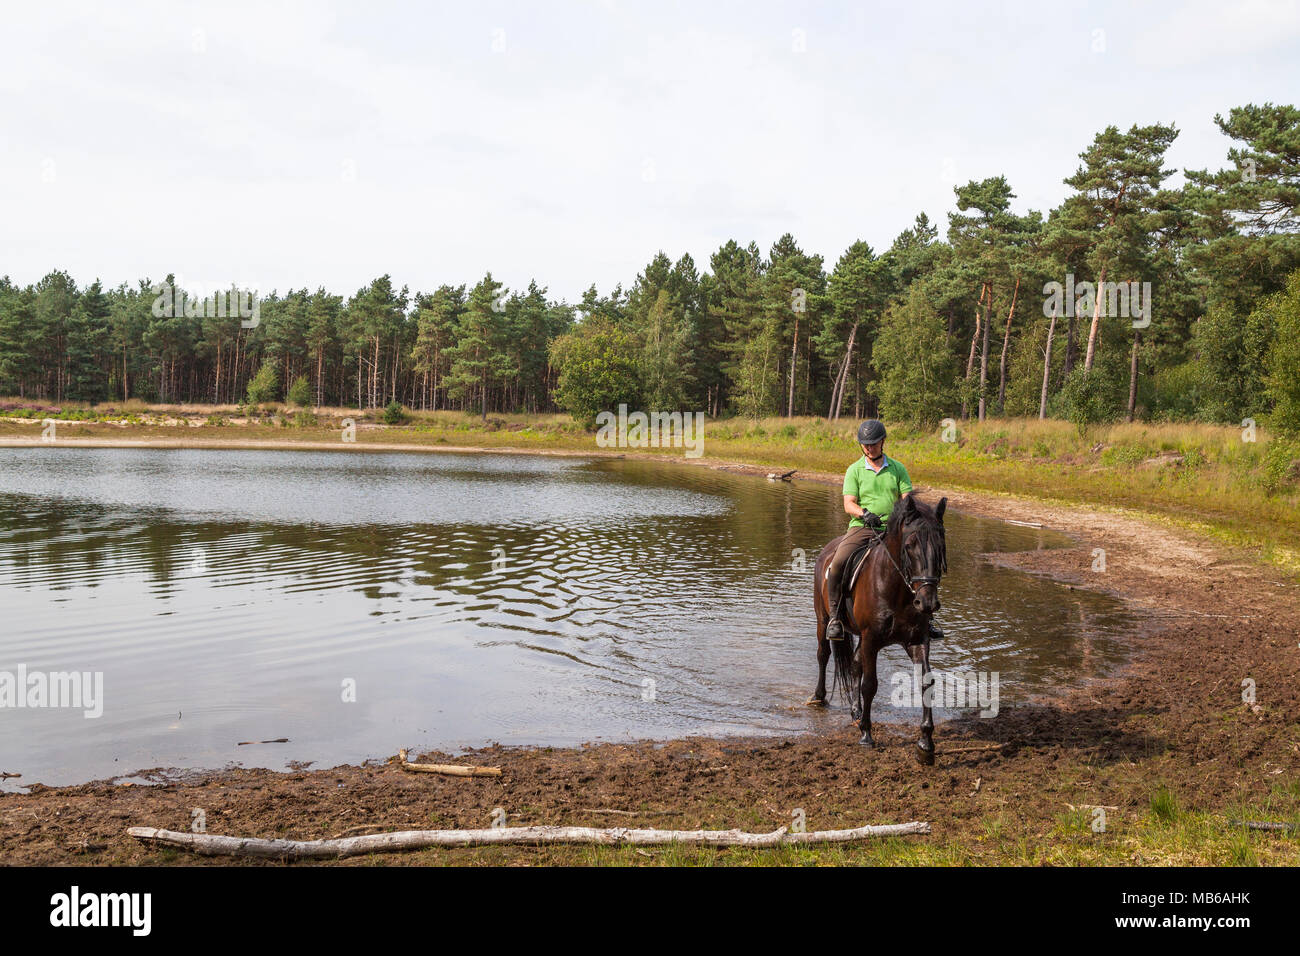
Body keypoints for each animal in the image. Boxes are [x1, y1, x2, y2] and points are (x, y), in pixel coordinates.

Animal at [806, 489, 951, 764]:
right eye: (909, 546)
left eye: (941, 546)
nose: (927, 602)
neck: (897, 590)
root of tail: (828, 550)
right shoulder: (872, 639)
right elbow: (870, 684)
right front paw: (866, 734)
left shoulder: (917, 640)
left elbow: (926, 682)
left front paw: (925, 744)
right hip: (823, 618)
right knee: (822, 654)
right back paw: (818, 697)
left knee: (853, 664)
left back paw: (855, 710)